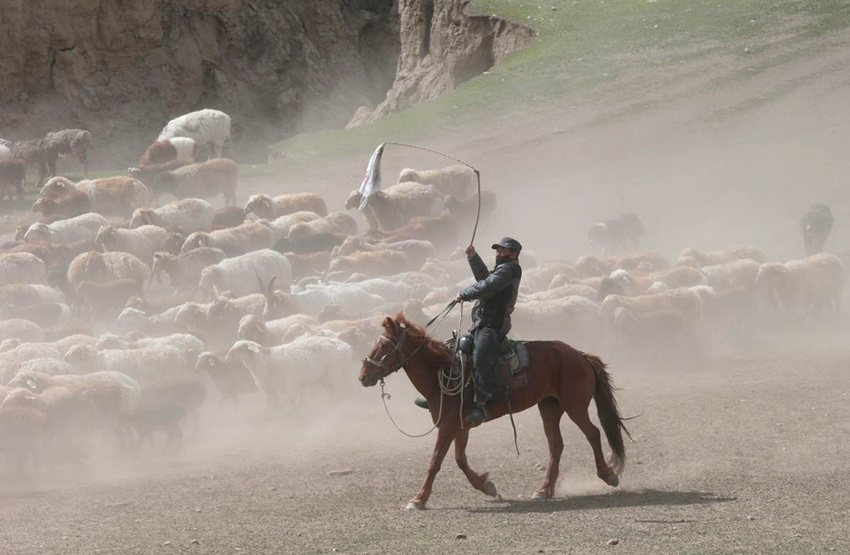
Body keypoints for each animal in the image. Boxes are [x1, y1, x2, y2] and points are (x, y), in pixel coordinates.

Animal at [224, 334, 352, 412]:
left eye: (240, 348)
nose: (227, 358)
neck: (268, 361)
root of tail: (346, 347)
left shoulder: (291, 385)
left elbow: (292, 403)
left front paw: (295, 416)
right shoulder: (271, 390)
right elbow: (271, 406)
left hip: (337, 374)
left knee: (343, 393)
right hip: (327, 377)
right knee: (334, 392)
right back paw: (331, 407)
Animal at [358, 314, 628, 510]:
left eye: (384, 345)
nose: (363, 376)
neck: (442, 372)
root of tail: (580, 355)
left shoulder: (447, 427)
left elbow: (435, 462)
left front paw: (418, 499)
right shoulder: (460, 426)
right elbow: (460, 459)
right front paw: (487, 486)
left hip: (575, 406)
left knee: (593, 433)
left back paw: (608, 475)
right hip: (550, 407)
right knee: (556, 445)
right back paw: (543, 489)